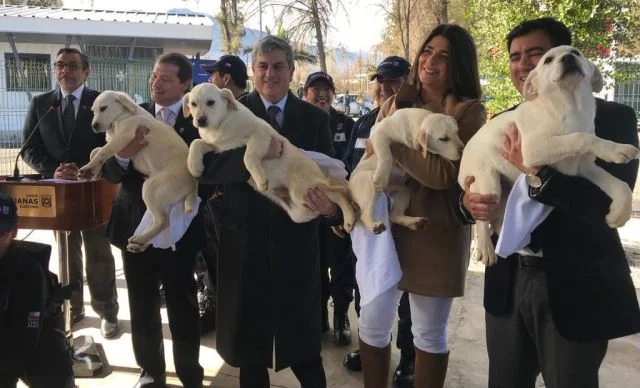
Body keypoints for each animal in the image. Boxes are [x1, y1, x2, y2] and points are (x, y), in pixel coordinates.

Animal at [77, 91, 198, 255]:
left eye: (103, 108)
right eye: (93, 111)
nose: (94, 126)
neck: (123, 117)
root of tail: (193, 185)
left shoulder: (123, 137)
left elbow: (102, 151)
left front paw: (87, 169)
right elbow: (95, 151)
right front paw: (93, 171)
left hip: (150, 188)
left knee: (163, 220)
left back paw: (140, 240)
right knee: (158, 222)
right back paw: (139, 243)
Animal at [182, 83, 358, 232]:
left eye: (211, 102)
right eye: (193, 104)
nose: (200, 121)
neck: (222, 124)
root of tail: (322, 174)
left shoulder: (260, 133)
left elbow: (248, 156)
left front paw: (260, 180)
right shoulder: (217, 147)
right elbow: (196, 143)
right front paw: (194, 166)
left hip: (303, 189)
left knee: (341, 191)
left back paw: (349, 218)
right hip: (301, 209)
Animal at [458, 44, 636, 266]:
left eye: (576, 53)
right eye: (548, 60)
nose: (568, 58)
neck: (571, 106)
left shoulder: (584, 167)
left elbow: (620, 185)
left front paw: (619, 213)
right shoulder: (533, 149)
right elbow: (579, 137)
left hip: (503, 191)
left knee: (497, 220)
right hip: (488, 184)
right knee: (482, 219)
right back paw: (486, 249)